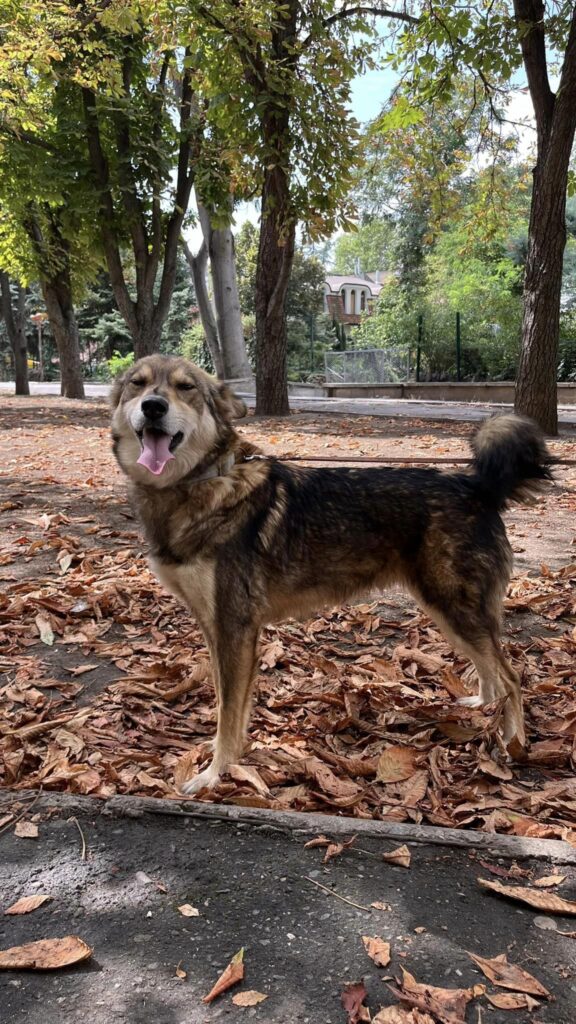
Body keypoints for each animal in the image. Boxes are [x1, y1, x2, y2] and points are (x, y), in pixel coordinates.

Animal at [109, 352, 549, 790]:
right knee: (491, 674)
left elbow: (228, 714)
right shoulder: (214, 628)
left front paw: (216, 774)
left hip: (453, 610)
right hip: (451, 615)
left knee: (511, 678)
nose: (153, 406)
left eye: (185, 388)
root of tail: (477, 486)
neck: (204, 482)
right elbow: (226, 705)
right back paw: (482, 711)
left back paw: (513, 743)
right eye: (138, 384)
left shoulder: (235, 629)